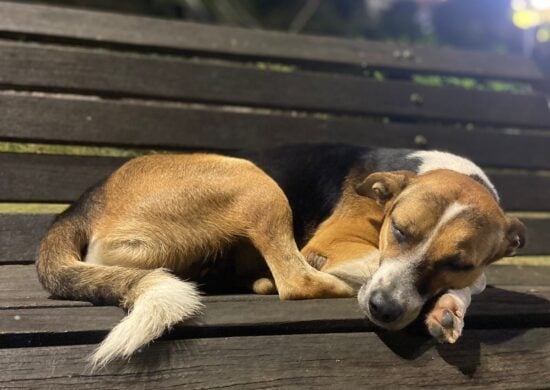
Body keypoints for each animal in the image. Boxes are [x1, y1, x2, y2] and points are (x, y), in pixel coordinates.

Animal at [34, 144, 528, 368]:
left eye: (457, 263)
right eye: (400, 230)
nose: (383, 309)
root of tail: (85, 202)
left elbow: (475, 282)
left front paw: (448, 306)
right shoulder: (333, 245)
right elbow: (365, 267)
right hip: (257, 182)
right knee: (297, 280)